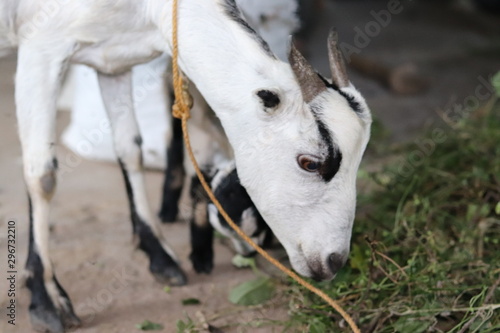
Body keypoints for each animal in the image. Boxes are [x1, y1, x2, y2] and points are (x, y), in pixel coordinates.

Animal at [0, 1, 372, 330]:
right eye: (310, 162)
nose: (333, 261)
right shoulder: (41, 46)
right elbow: (43, 175)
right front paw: (47, 301)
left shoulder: (113, 60)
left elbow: (130, 150)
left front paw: (159, 255)